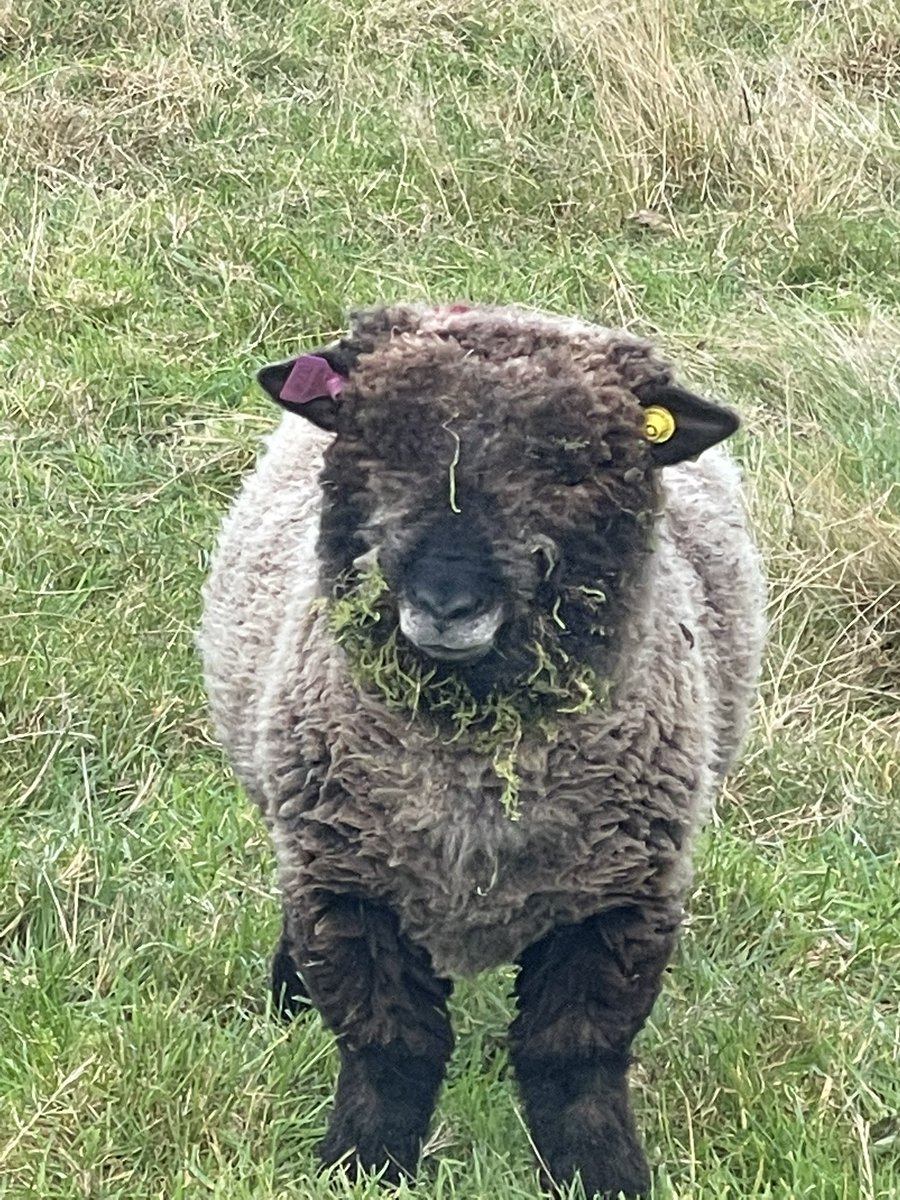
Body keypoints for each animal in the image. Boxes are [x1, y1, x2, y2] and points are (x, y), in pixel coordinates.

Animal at [199, 302, 766, 1199]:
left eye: (571, 465)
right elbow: (390, 1051)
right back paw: (287, 998)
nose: (446, 601)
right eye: (380, 442)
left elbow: (574, 1062)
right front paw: (363, 1167)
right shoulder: (350, 884)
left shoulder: (619, 900)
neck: (470, 763)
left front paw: (604, 1177)